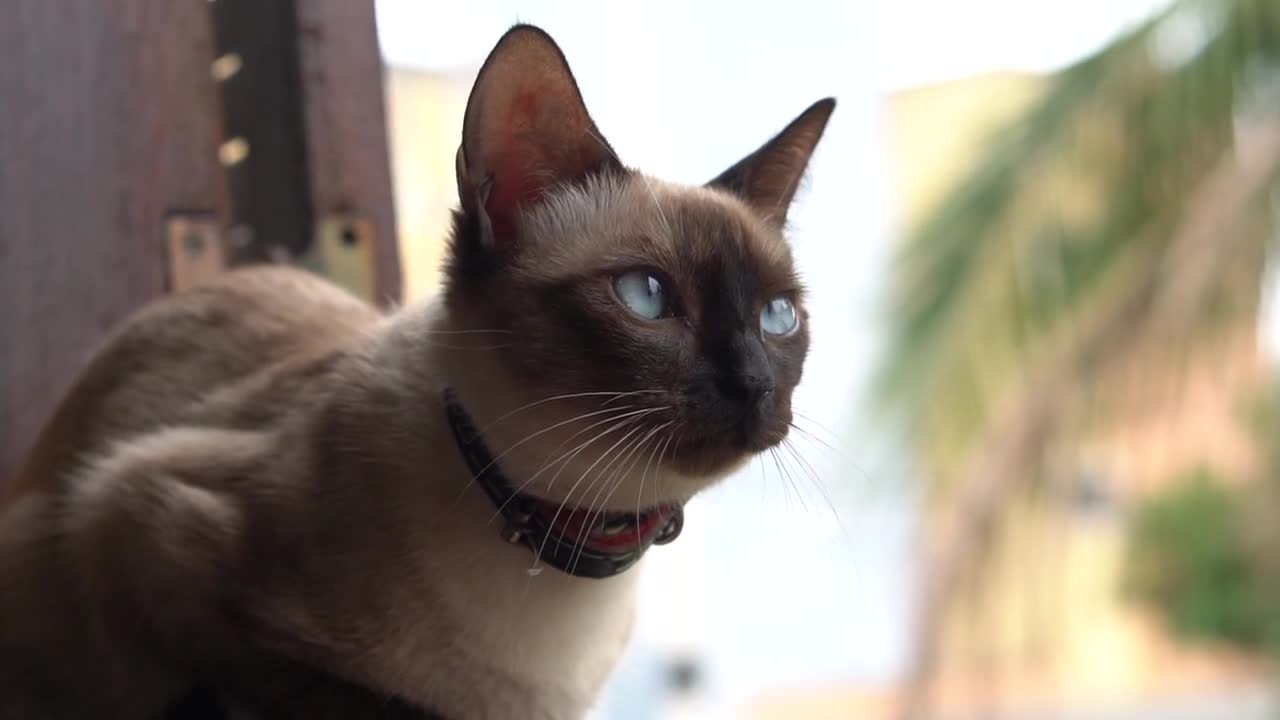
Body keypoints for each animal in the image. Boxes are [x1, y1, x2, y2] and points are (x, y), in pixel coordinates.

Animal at [0, 22, 834, 717]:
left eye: (777, 317)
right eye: (647, 297)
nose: (756, 386)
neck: (569, 547)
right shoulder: (135, 514)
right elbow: (349, 696)